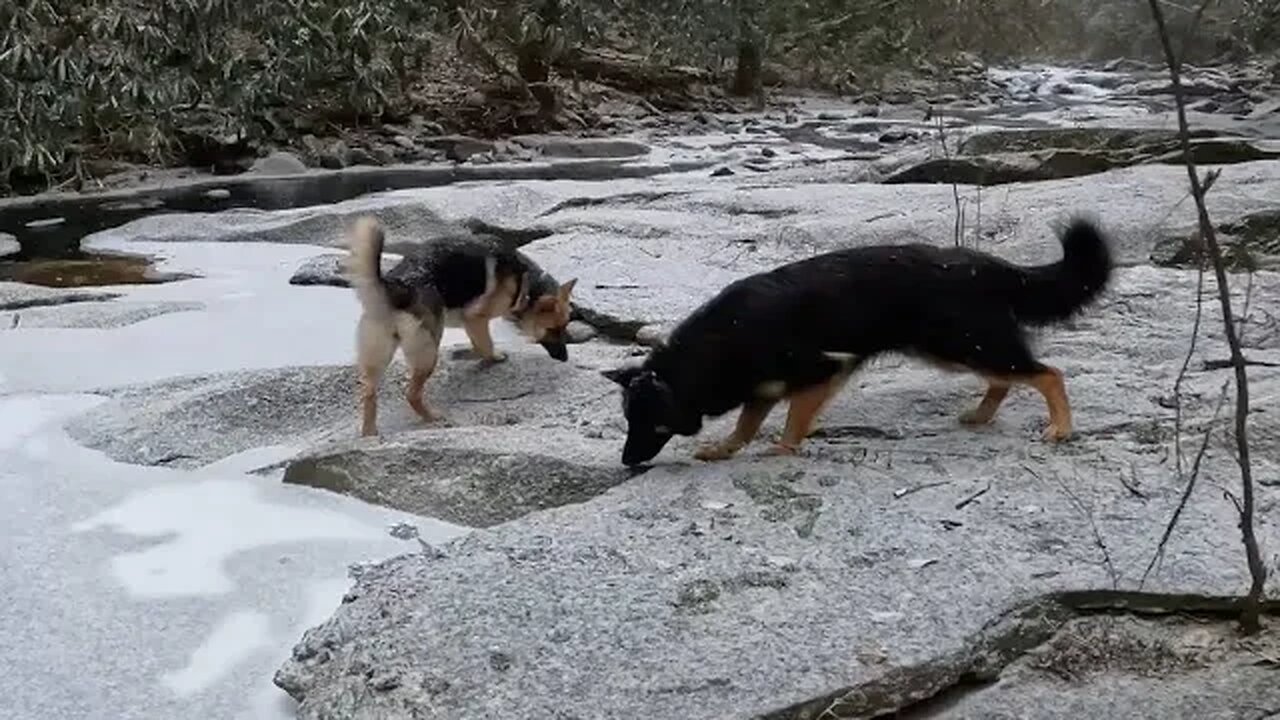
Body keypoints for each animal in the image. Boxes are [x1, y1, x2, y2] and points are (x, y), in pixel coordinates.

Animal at [345, 212, 576, 435]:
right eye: (553, 329)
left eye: (565, 326)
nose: (565, 358)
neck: (524, 283)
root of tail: (398, 286)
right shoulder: (475, 319)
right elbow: (485, 346)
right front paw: (488, 356)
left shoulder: (471, 324)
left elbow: (478, 345)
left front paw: (465, 354)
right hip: (428, 352)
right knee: (412, 394)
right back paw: (433, 418)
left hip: (379, 356)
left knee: (368, 393)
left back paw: (369, 433)